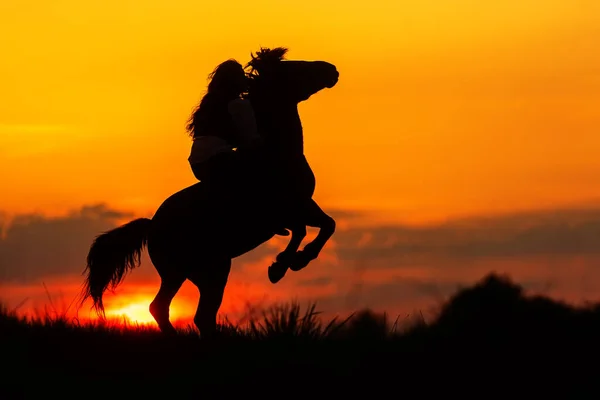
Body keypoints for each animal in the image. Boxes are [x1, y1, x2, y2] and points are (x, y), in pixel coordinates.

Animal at [81, 48, 340, 340]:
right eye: (291, 68)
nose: (331, 69)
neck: (276, 153)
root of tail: (152, 226)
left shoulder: (304, 205)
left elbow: (326, 225)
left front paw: (291, 263)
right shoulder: (284, 211)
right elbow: (305, 230)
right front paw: (284, 265)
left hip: (192, 272)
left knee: (180, 311)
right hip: (205, 269)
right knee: (182, 311)